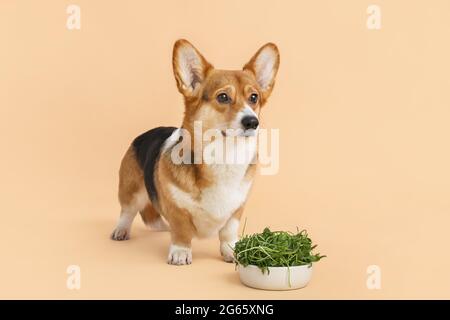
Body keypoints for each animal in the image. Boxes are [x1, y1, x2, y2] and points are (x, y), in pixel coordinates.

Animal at [110, 39, 280, 264]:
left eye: (254, 97)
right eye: (223, 97)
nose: (252, 122)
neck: (224, 156)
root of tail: (145, 134)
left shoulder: (236, 209)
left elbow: (228, 233)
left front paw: (232, 251)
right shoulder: (177, 209)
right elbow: (181, 231)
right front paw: (180, 252)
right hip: (131, 191)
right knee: (127, 212)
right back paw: (121, 231)